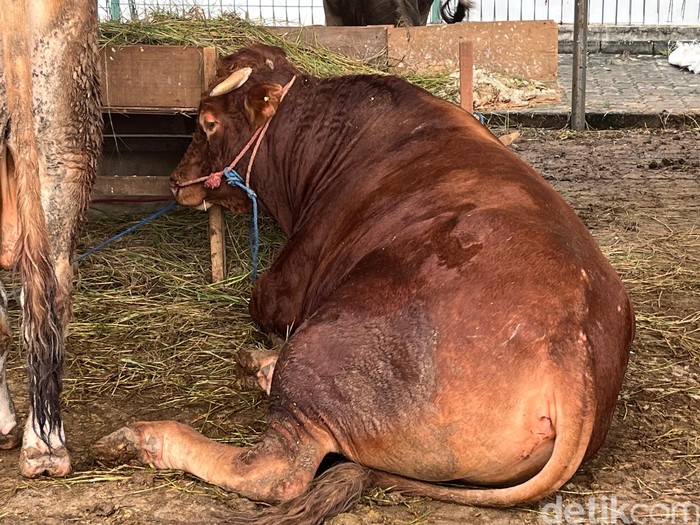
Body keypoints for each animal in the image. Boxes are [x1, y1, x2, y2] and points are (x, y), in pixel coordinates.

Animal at [95, 46, 636, 524]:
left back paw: (147, 435)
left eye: (207, 120)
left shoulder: (285, 282)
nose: (175, 180)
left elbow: (260, 303)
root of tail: (573, 341)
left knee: (277, 470)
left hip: (319, 351)